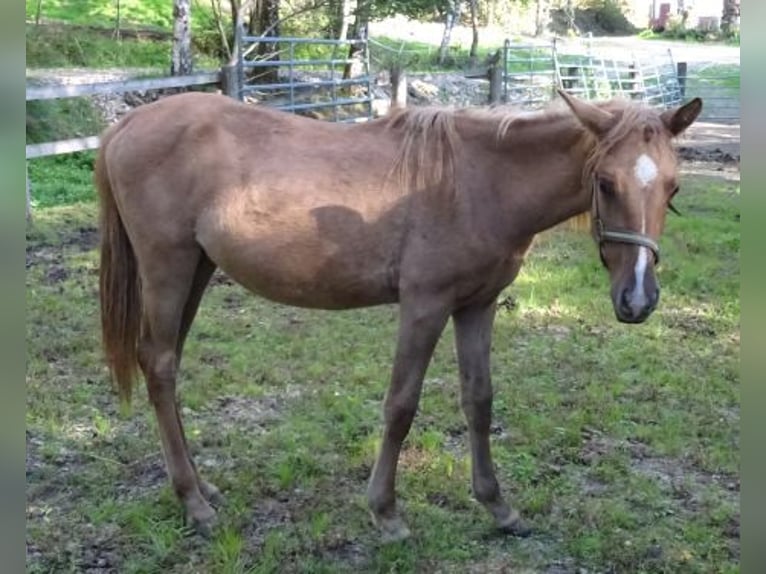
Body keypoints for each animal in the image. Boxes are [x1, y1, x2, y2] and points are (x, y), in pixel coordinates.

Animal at [96, 89, 702, 542]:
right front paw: (385, 512)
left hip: (196, 270)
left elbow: (479, 401)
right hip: (168, 268)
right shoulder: (424, 306)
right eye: (605, 182)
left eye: (672, 186)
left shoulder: (477, 306)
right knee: (161, 366)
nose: (638, 299)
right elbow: (401, 406)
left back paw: (202, 488)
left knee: (166, 367)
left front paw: (497, 506)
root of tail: (126, 125)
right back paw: (193, 503)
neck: (480, 182)